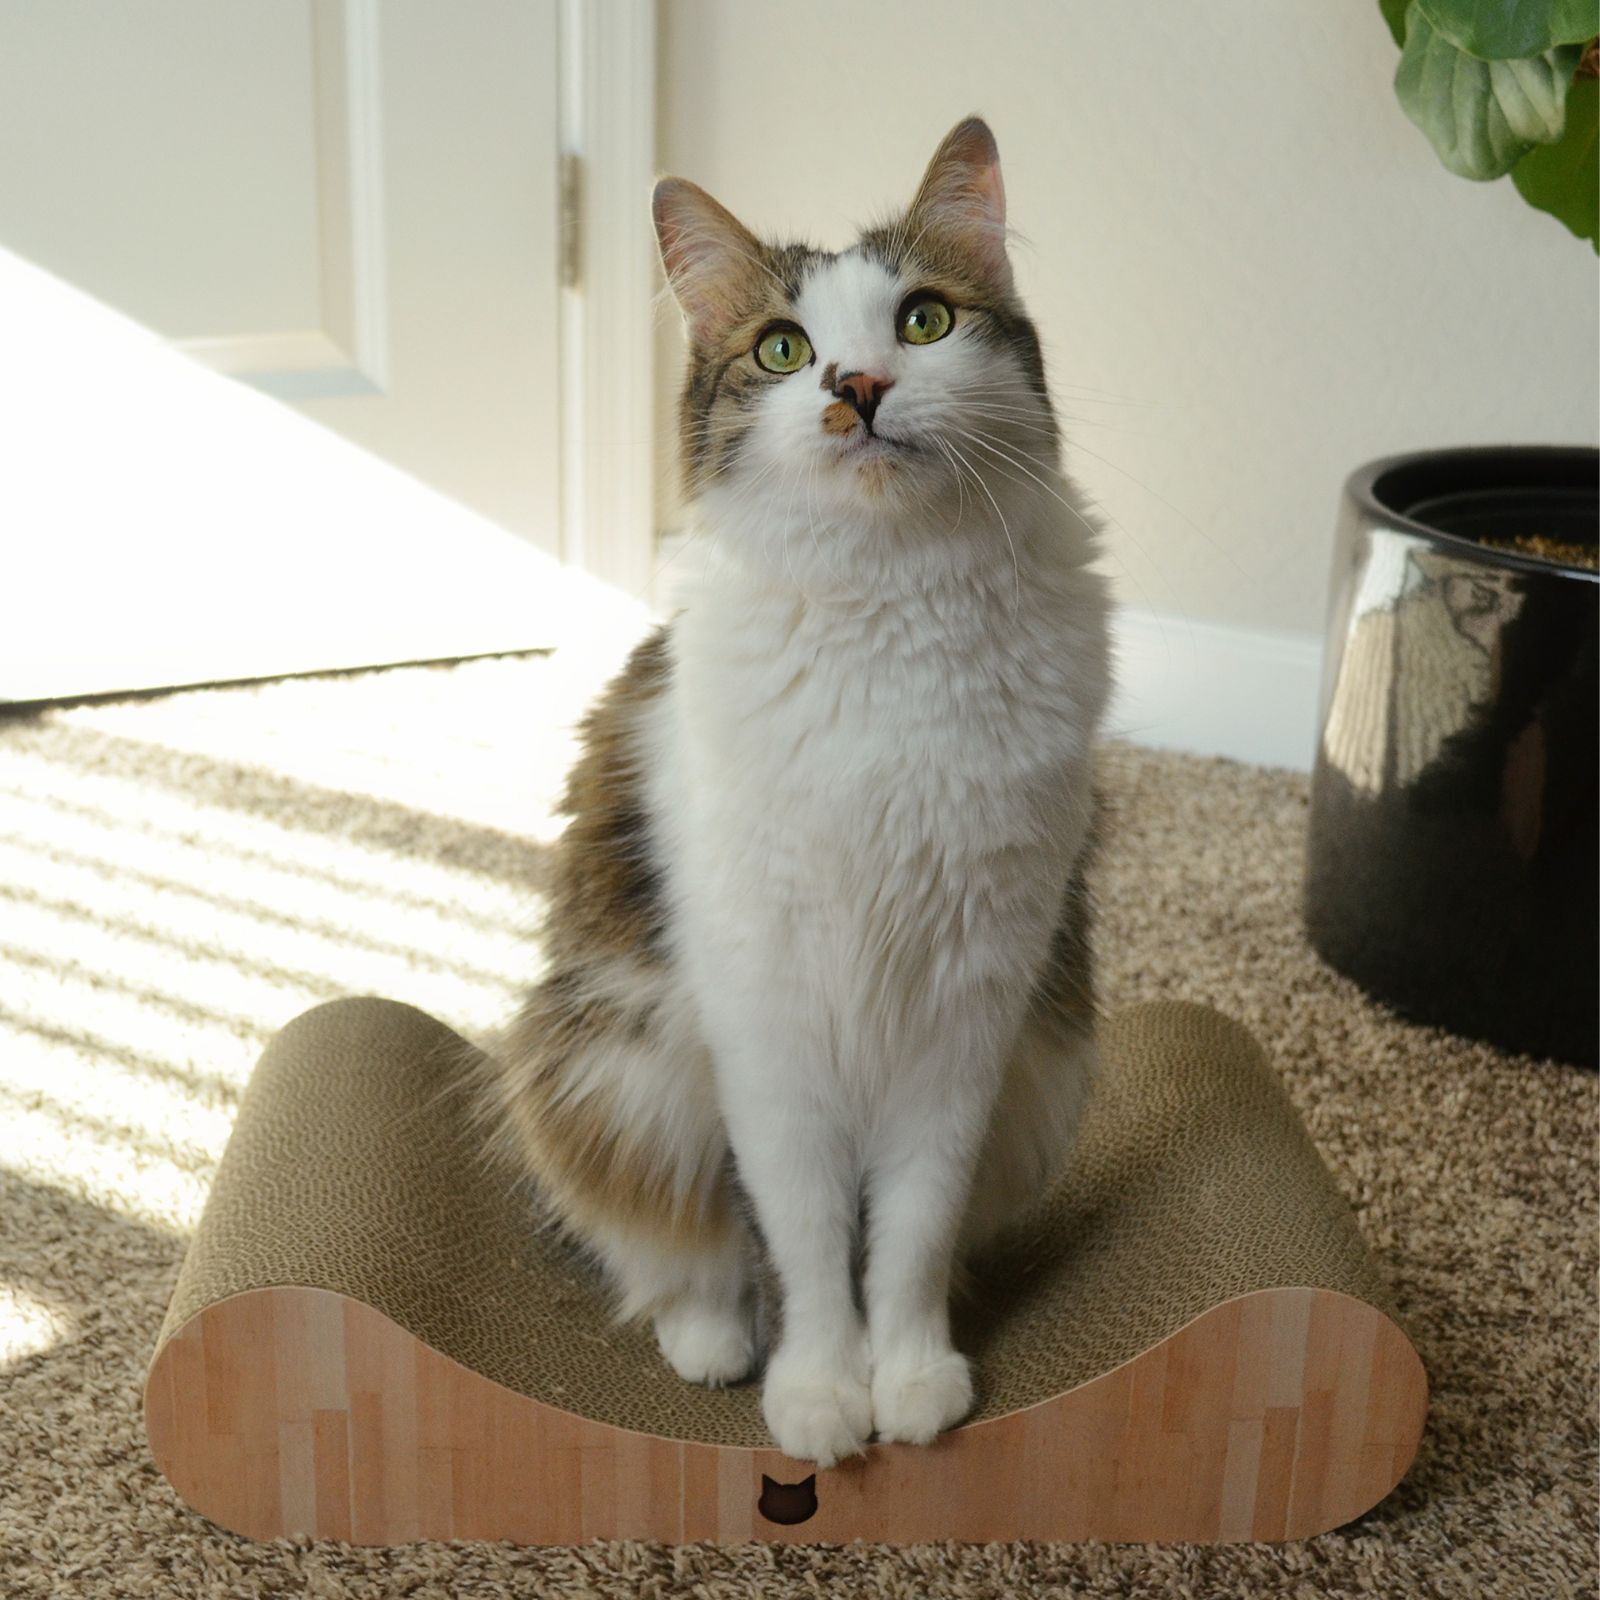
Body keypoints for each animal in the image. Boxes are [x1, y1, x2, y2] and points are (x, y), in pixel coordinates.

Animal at [476, 118, 1113, 1465]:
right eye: (781, 349)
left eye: (923, 320)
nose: (856, 387)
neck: (889, 620)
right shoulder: (764, 1022)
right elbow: (805, 1241)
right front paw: (818, 1393)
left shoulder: (969, 1009)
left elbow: (910, 1233)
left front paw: (909, 1380)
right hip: (614, 1071)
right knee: (674, 1252)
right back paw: (713, 1341)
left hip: (1043, 1072)